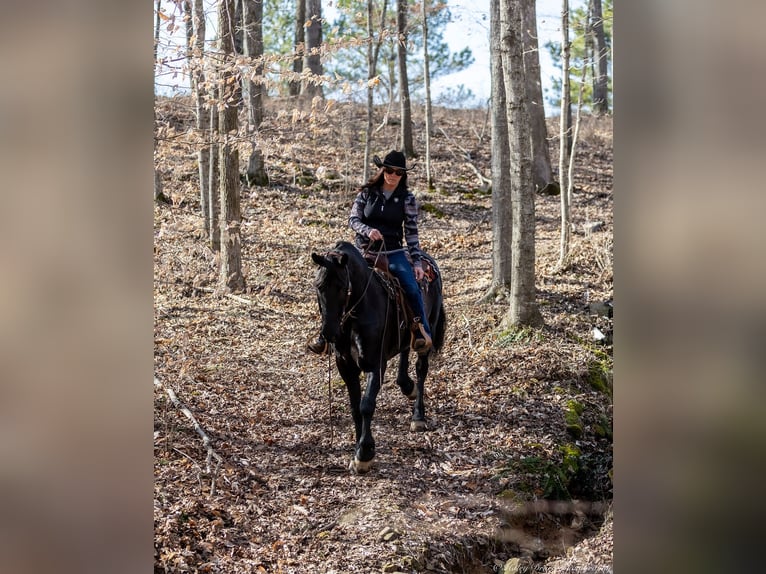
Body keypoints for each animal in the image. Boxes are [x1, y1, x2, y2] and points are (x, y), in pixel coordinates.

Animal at [310, 241, 448, 474]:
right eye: (319, 286)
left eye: (341, 286)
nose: (329, 333)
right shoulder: (345, 366)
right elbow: (355, 407)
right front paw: (358, 448)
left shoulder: (375, 365)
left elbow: (366, 405)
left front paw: (365, 453)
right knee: (405, 351)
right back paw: (407, 385)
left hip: (428, 329)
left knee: (421, 368)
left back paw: (418, 416)